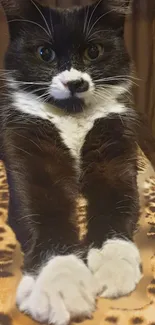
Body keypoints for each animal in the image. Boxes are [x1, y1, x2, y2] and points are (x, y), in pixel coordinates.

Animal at [0, 0, 147, 322]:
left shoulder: (116, 146)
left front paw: (114, 262)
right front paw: (60, 281)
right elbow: (45, 210)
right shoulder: (25, 144)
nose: (75, 82)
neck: (72, 115)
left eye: (93, 51)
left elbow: (117, 199)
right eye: (45, 53)